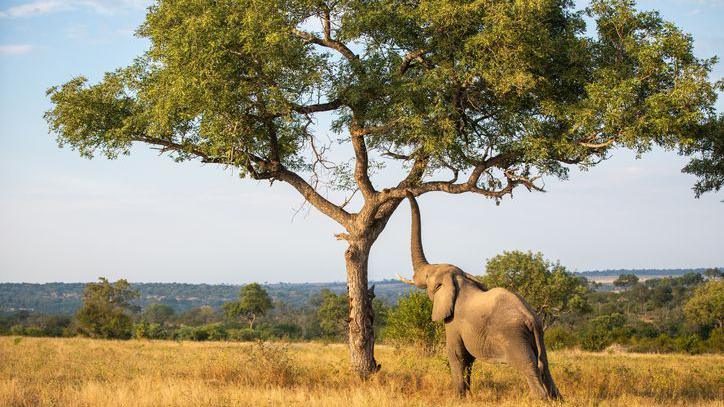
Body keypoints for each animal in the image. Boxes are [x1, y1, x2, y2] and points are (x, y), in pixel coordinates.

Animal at [396, 192, 560, 402]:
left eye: (428, 278)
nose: (406, 191)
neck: (460, 279)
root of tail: (531, 319)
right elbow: (468, 360)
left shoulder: (454, 322)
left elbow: (457, 355)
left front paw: (458, 399)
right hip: (538, 334)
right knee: (544, 365)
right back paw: (557, 399)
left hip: (514, 336)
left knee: (529, 366)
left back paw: (539, 399)